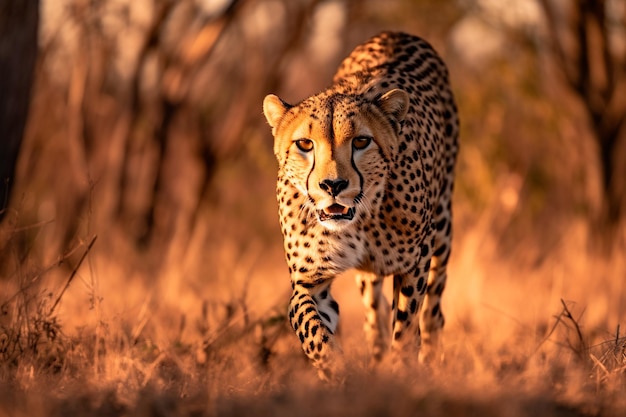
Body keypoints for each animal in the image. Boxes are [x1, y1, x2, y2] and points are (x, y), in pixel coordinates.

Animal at [260, 30, 456, 378]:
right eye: (304, 144)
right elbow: (312, 330)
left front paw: (403, 369)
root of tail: (394, 32)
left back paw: (431, 356)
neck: (360, 220)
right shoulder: (308, 281)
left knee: (433, 310)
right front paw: (339, 370)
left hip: (442, 231)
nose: (333, 185)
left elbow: (406, 325)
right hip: (369, 277)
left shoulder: (416, 261)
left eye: (361, 141)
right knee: (374, 315)